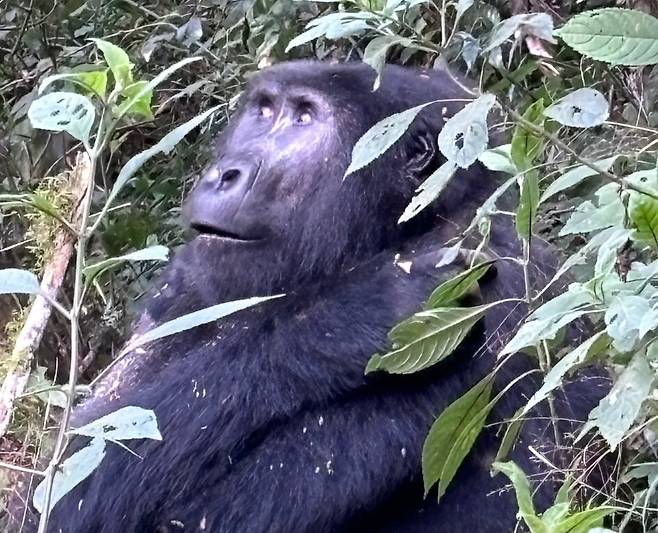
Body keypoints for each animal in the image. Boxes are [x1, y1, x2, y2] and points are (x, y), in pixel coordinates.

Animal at [21, 61, 604, 532]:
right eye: (263, 110)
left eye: (304, 118)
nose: (223, 174)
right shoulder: (181, 287)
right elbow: (54, 491)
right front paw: (363, 313)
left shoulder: (507, 288)